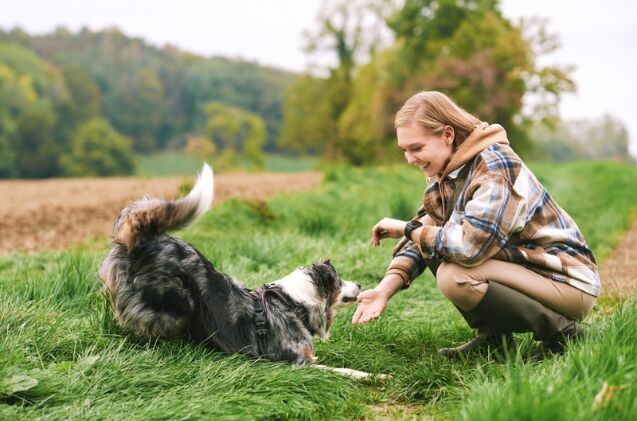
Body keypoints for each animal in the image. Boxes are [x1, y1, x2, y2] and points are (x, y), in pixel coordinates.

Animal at [97, 164, 376, 378]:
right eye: (339, 281)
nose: (361, 285)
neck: (293, 303)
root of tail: (141, 242)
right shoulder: (296, 362)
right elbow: (340, 370)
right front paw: (371, 375)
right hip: (178, 300)